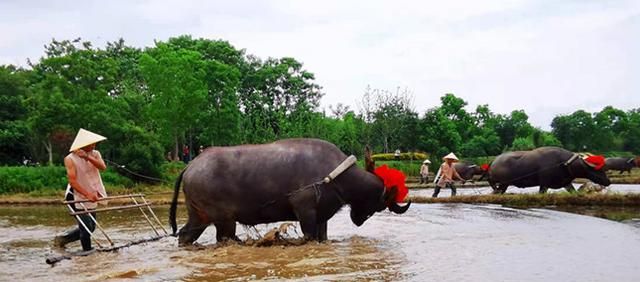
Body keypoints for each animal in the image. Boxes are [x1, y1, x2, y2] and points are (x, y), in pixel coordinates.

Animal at [170, 138, 410, 245]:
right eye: (380, 204)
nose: (358, 220)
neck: (335, 176)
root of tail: (191, 165)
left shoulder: (321, 217)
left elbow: (322, 236)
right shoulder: (305, 211)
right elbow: (309, 235)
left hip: (199, 215)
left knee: (185, 234)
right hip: (223, 219)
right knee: (223, 237)